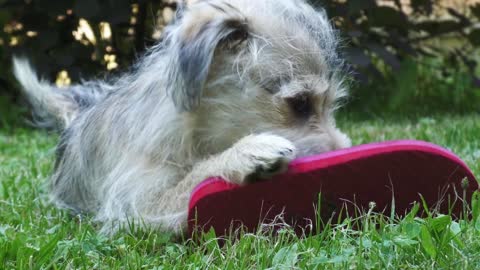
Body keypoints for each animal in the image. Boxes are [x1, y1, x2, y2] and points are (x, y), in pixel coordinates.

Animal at [13, 0, 350, 235]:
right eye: (300, 104)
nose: (343, 153)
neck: (197, 132)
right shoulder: (136, 205)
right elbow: (197, 178)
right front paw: (244, 154)